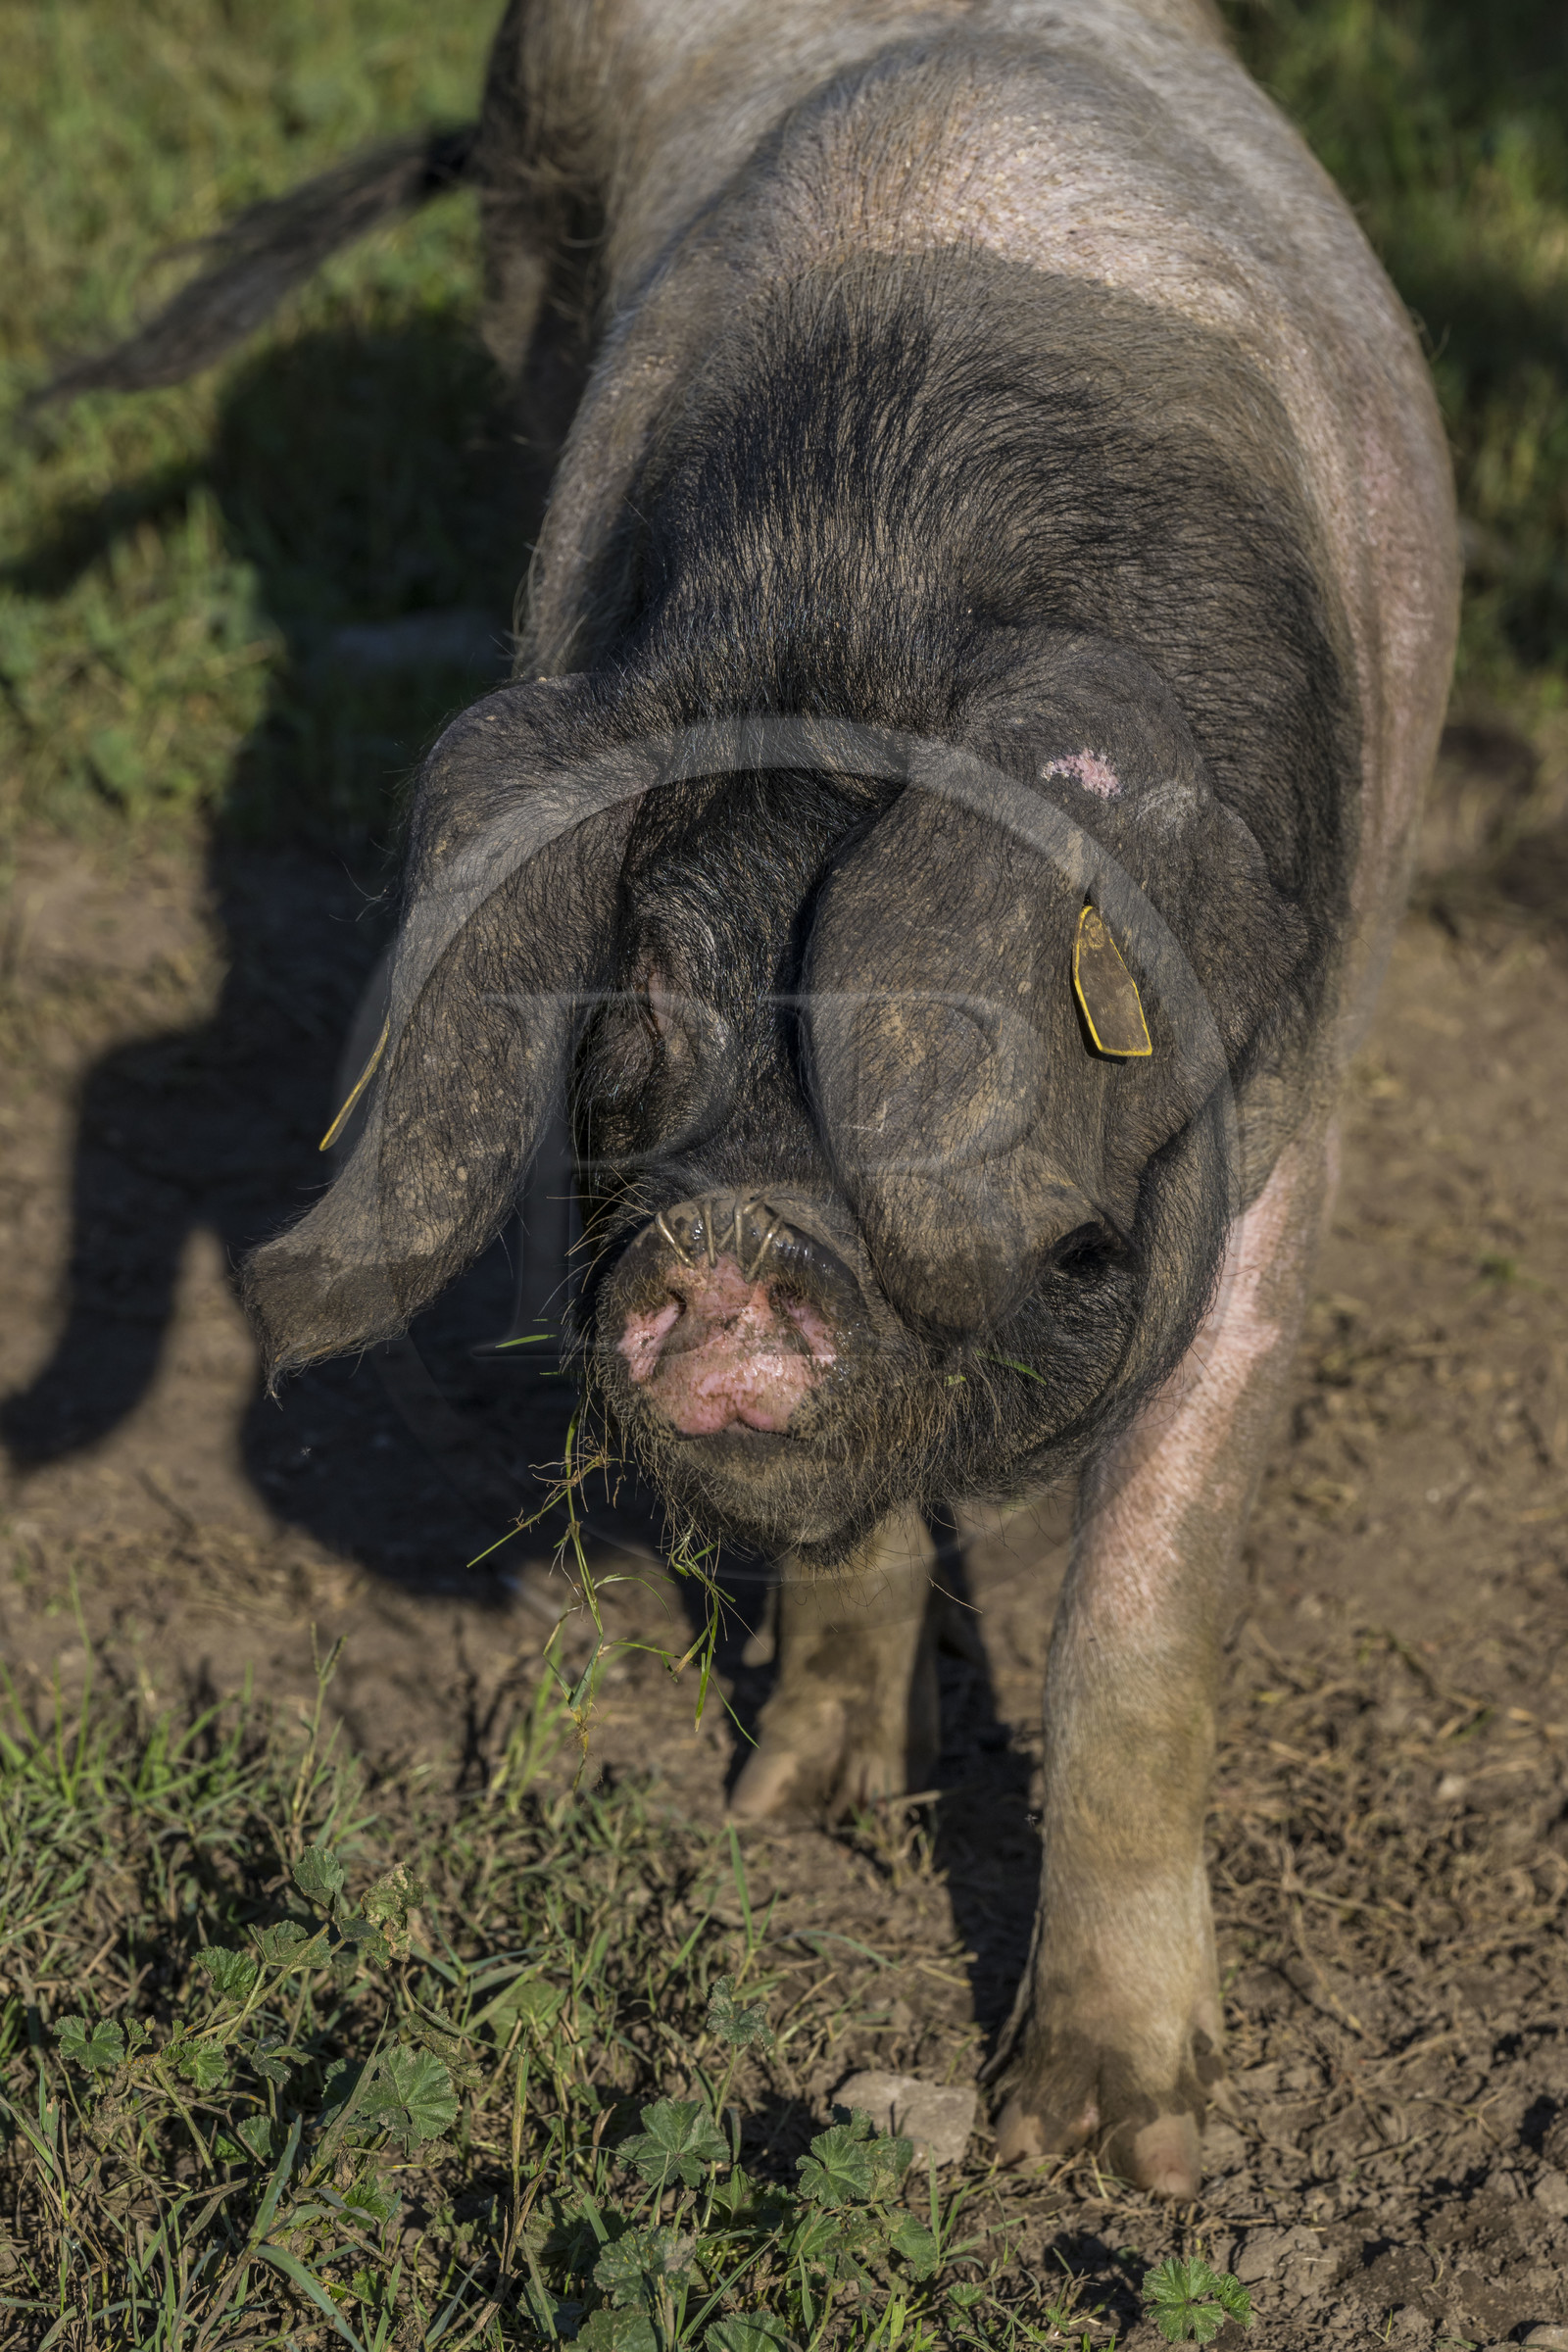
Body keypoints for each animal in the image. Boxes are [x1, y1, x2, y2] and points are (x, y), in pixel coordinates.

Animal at [55, 0, 1458, 2194]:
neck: (869, 604)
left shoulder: (1283, 1111)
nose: (730, 1238)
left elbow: (1143, 1606)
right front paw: (788, 1815)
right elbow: (847, 1543)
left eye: (958, 1044)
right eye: (640, 1001)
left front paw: (1110, 2146)